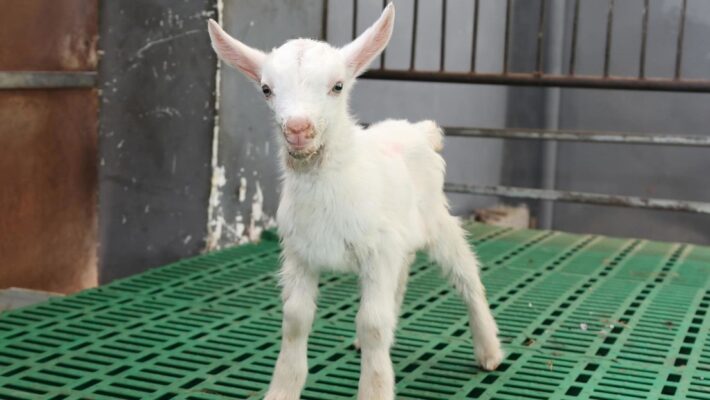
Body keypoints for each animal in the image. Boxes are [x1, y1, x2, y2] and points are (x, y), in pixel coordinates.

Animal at [208, 4, 503, 399]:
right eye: (267, 89)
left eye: (337, 86)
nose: (298, 129)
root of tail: (418, 130)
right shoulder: (300, 254)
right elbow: (296, 319)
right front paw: (282, 389)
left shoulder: (377, 252)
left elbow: (373, 323)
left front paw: (375, 388)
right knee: (402, 276)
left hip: (437, 220)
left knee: (467, 276)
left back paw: (489, 350)